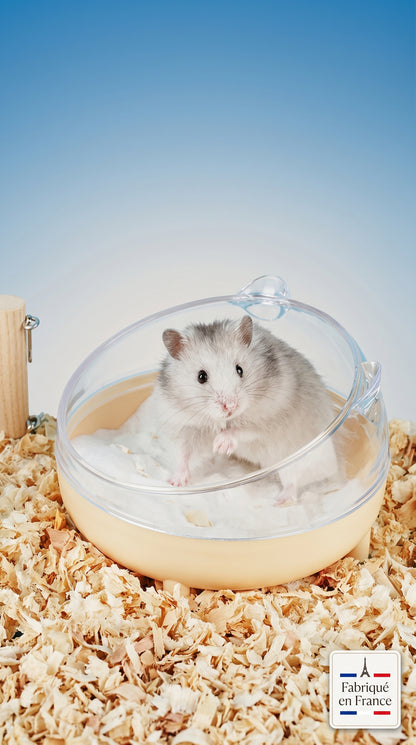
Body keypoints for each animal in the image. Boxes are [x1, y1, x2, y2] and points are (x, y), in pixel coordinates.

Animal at [150, 315, 335, 488]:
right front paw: (175, 483)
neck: (225, 419)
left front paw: (220, 444)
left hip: (297, 460)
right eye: (201, 376)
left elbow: (243, 429)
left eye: (240, 369)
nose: (231, 406)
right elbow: (183, 455)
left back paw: (282, 497)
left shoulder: (269, 417)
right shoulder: (182, 426)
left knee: (294, 484)